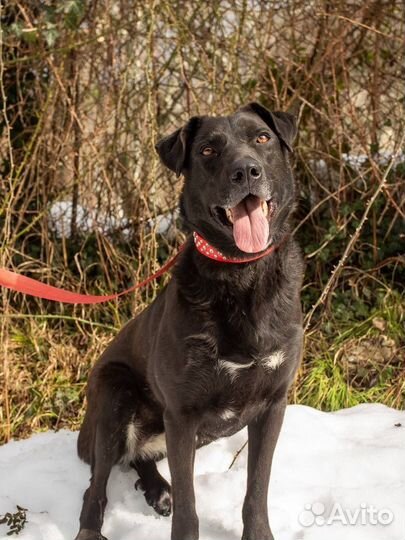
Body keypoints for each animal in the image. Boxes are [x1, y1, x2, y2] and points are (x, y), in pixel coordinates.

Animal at [74, 102, 302, 540]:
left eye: (262, 138)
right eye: (208, 150)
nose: (246, 171)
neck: (241, 275)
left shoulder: (272, 404)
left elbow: (257, 489)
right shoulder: (181, 415)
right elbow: (189, 507)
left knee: (138, 459)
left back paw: (157, 489)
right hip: (113, 398)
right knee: (96, 485)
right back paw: (95, 526)